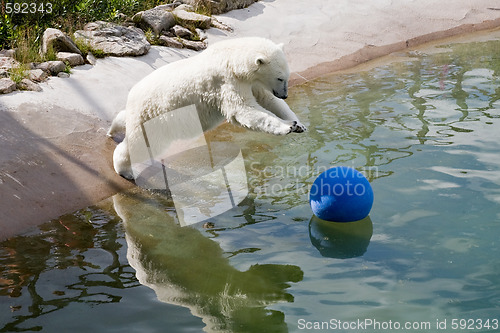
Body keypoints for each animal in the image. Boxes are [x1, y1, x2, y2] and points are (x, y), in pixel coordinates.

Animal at [107, 36, 306, 179]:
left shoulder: (251, 82)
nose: (284, 94)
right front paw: (287, 127)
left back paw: (113, 129)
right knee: (142, 144)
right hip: (154, 116)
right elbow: (243, 110)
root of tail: (132, 95)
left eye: (287, 76)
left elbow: (268, 100)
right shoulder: (226, 81)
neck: (233, 60)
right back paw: (124, 170)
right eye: (280, 77)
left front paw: (299, 124)